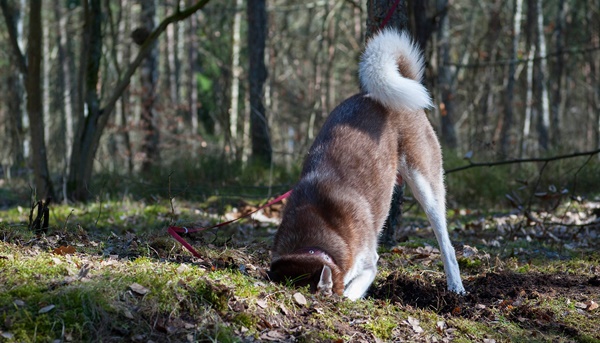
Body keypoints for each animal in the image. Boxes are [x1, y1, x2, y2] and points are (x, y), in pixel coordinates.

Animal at [270, 28, 466, 300]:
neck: (311, 240)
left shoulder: (368, 263)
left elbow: (349, 292)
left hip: (426, 185)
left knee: (446, 244)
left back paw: (456, 286)